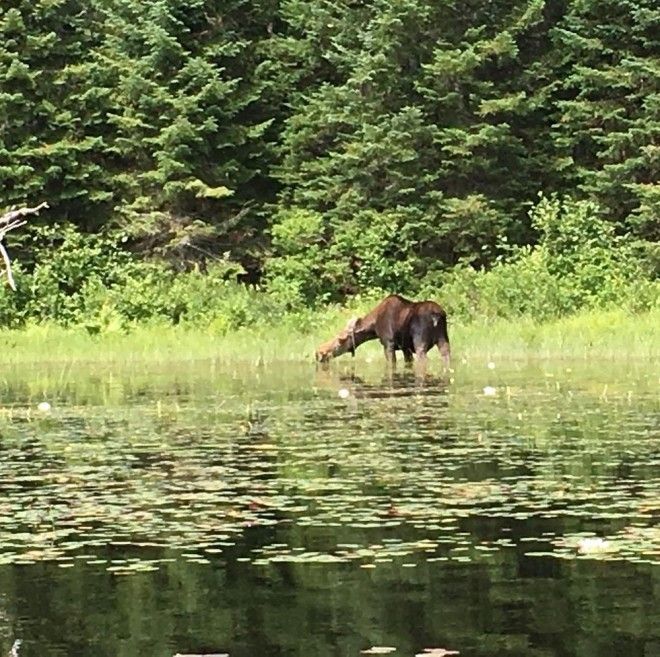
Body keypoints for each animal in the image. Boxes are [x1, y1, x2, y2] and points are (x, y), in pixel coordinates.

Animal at [314, 294, 448, 366]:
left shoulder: (388, 343)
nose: (319, 352)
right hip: (443, 339)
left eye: (340, 340)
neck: (373, 327)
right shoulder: (405, 348)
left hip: (420, 343)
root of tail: (437, 315)